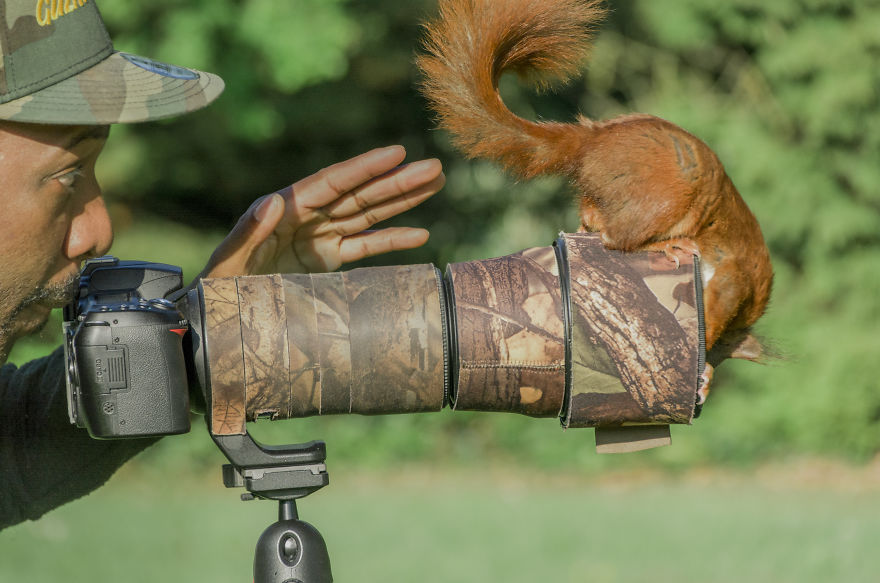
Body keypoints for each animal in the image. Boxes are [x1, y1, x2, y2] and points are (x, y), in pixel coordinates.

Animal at [416, 0, 772, 400]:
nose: (705, 372)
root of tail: (591, 142)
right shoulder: (735, 276)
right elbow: (720, 297)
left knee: (593, 219)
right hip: (667, 196)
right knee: (616, 238)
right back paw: (669, 244)